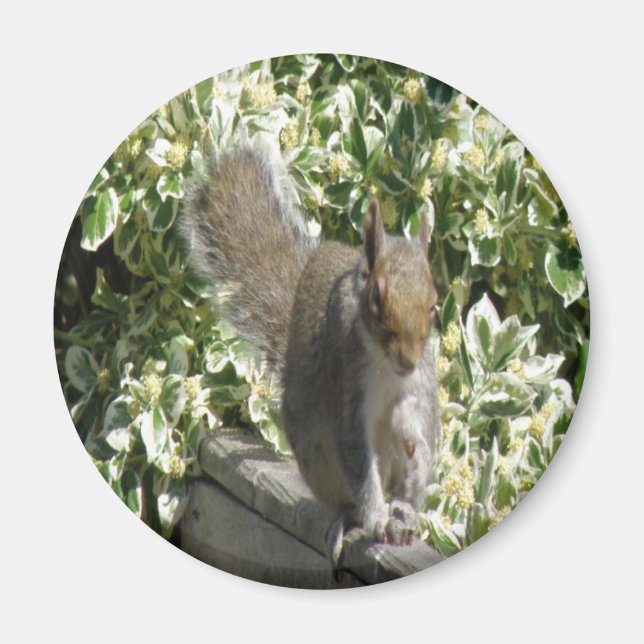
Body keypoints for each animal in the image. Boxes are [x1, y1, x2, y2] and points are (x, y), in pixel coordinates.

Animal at [181, 144, 440, 564]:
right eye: (376, 298)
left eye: (434, 303)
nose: (407, 359)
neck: (386, 367)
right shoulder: (345, 384)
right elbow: (357, 456)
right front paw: (376, 518)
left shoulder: (421, 383)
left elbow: (422, 430)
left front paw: (409, 480)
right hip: (315, 452)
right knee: (346, 496)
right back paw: (352, 518)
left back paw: (401, 509)